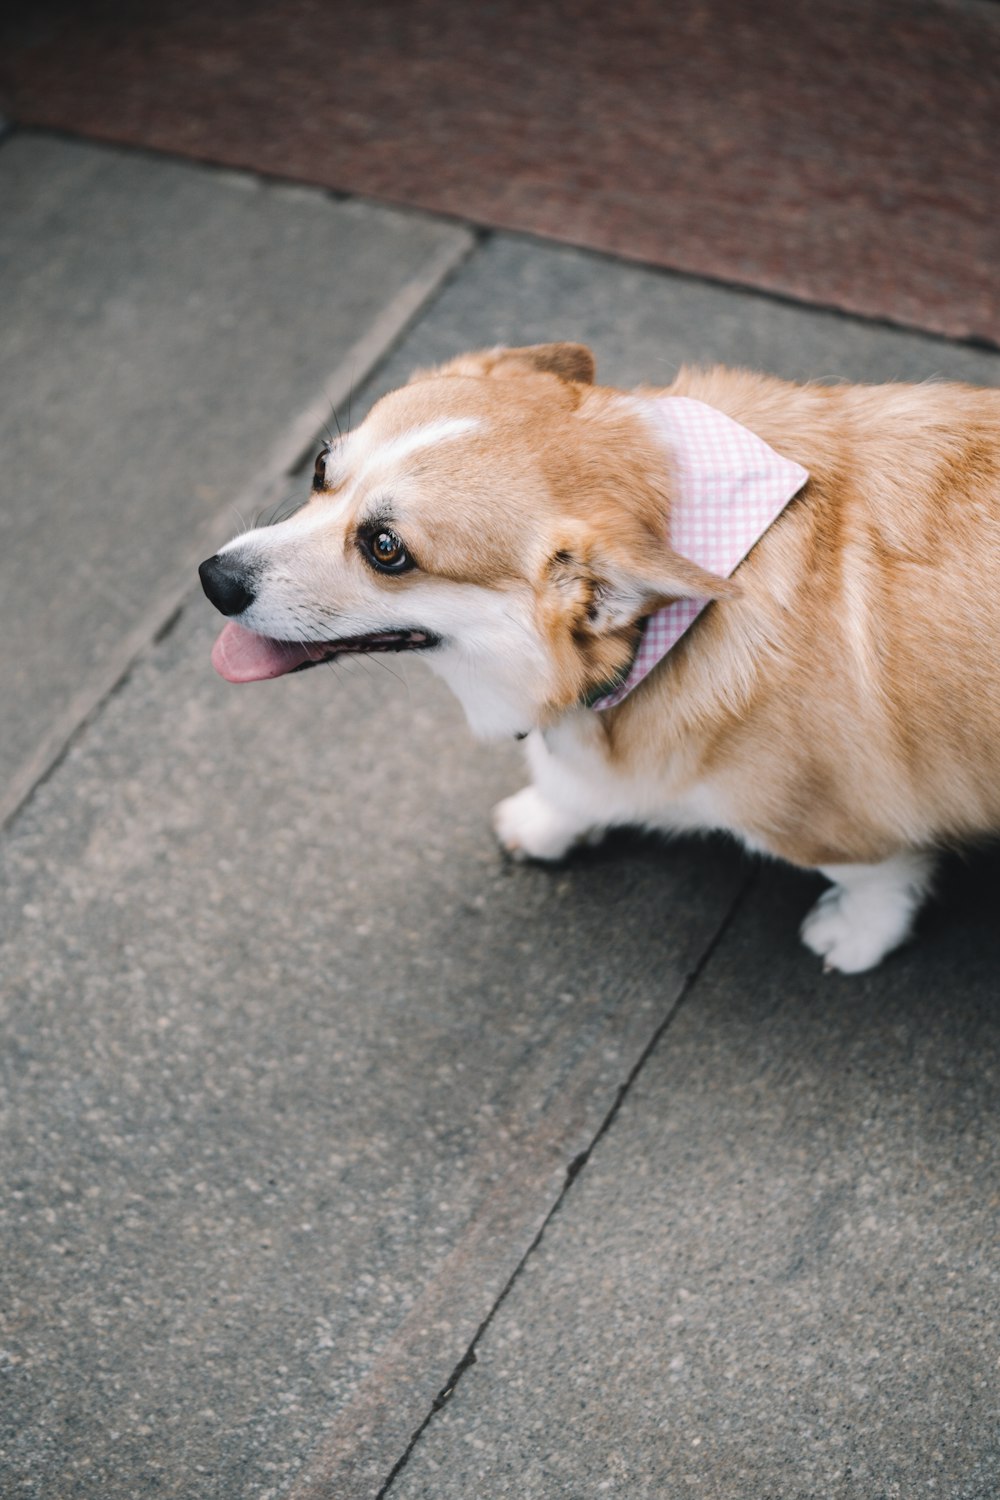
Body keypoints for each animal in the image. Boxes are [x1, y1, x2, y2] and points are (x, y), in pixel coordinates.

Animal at [200, 343, 1000, 972]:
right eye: (320, 467)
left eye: (386, 548)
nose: (214, 579)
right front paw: (548, 819)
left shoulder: (828, 822)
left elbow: (877, 877)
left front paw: (857, 936)